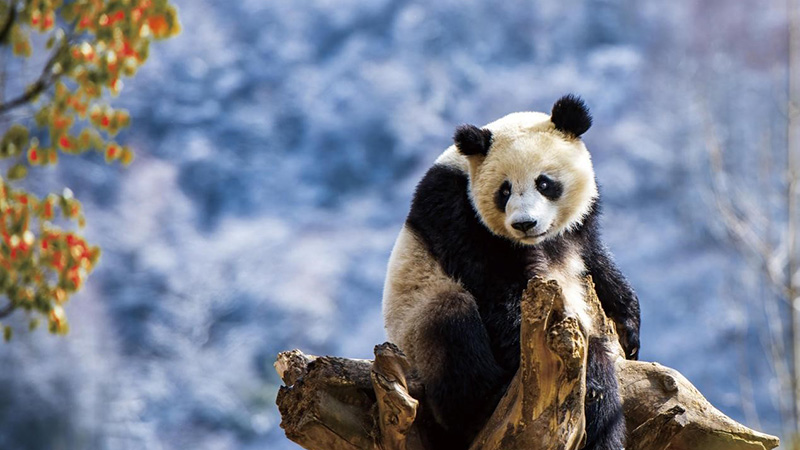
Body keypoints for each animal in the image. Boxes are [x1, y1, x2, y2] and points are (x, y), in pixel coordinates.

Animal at [382, 95, 640, 450]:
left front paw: (630, 326)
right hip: (414, 331)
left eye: (544, 183)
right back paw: (485, 402)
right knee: (450, 321)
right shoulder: (458, 213)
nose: (524, 223)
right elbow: (498, 291)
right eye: (504, 190)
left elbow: (596, 260)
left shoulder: (581, 227)